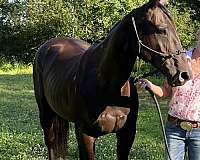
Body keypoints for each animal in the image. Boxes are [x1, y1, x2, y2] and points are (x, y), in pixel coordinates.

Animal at [33, 0, 192, 159]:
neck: (107, 86)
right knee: (51, 144)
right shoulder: (85, 136)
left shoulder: (127, 135)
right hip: (46, 114)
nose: (185, 74)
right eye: (161, 29)